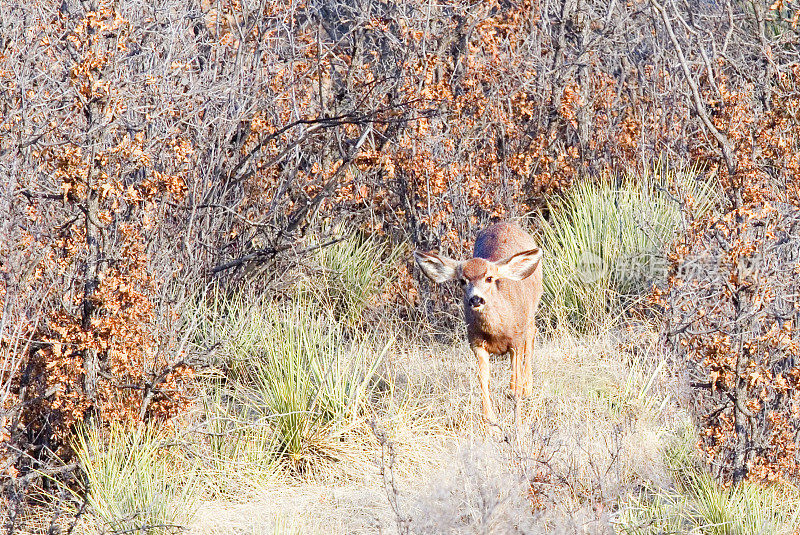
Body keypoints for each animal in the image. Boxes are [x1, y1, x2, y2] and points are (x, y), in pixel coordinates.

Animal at [412, 221, 544, 428]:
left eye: (489, 278)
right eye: (462, 281)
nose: (475, 299)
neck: (497, 331)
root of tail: (506, 223)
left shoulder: (515, 339)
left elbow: (515, 384)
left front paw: (518, 421)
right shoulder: (475, 343)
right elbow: (483, 380)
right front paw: (490, 423)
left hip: (530, 311)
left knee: (531, 336)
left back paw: (528, 390)